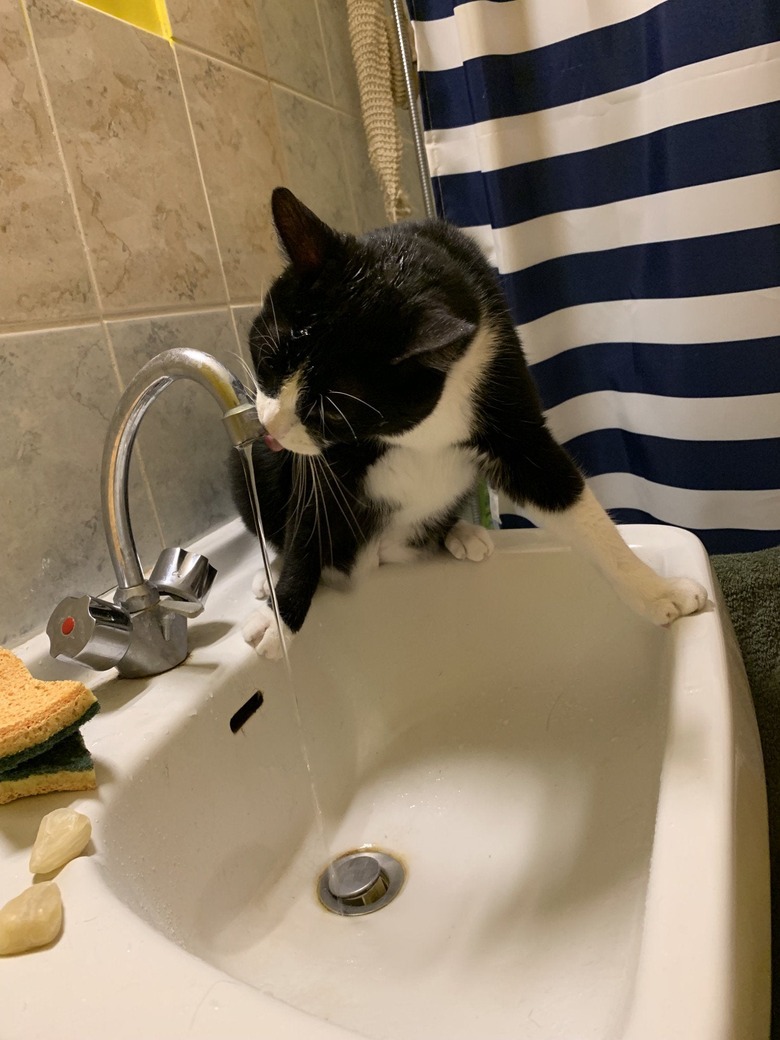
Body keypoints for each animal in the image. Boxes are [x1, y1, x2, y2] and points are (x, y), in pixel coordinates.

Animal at [227, 187, 707, 657]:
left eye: (328, 412)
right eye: (267, 360)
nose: (271, 426)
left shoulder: (503, 385)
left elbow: (568, 497)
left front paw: (660, 591)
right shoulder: (328, 459)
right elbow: (310, 516)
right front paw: (279, 618)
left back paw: (461, 532)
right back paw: (267, 573)